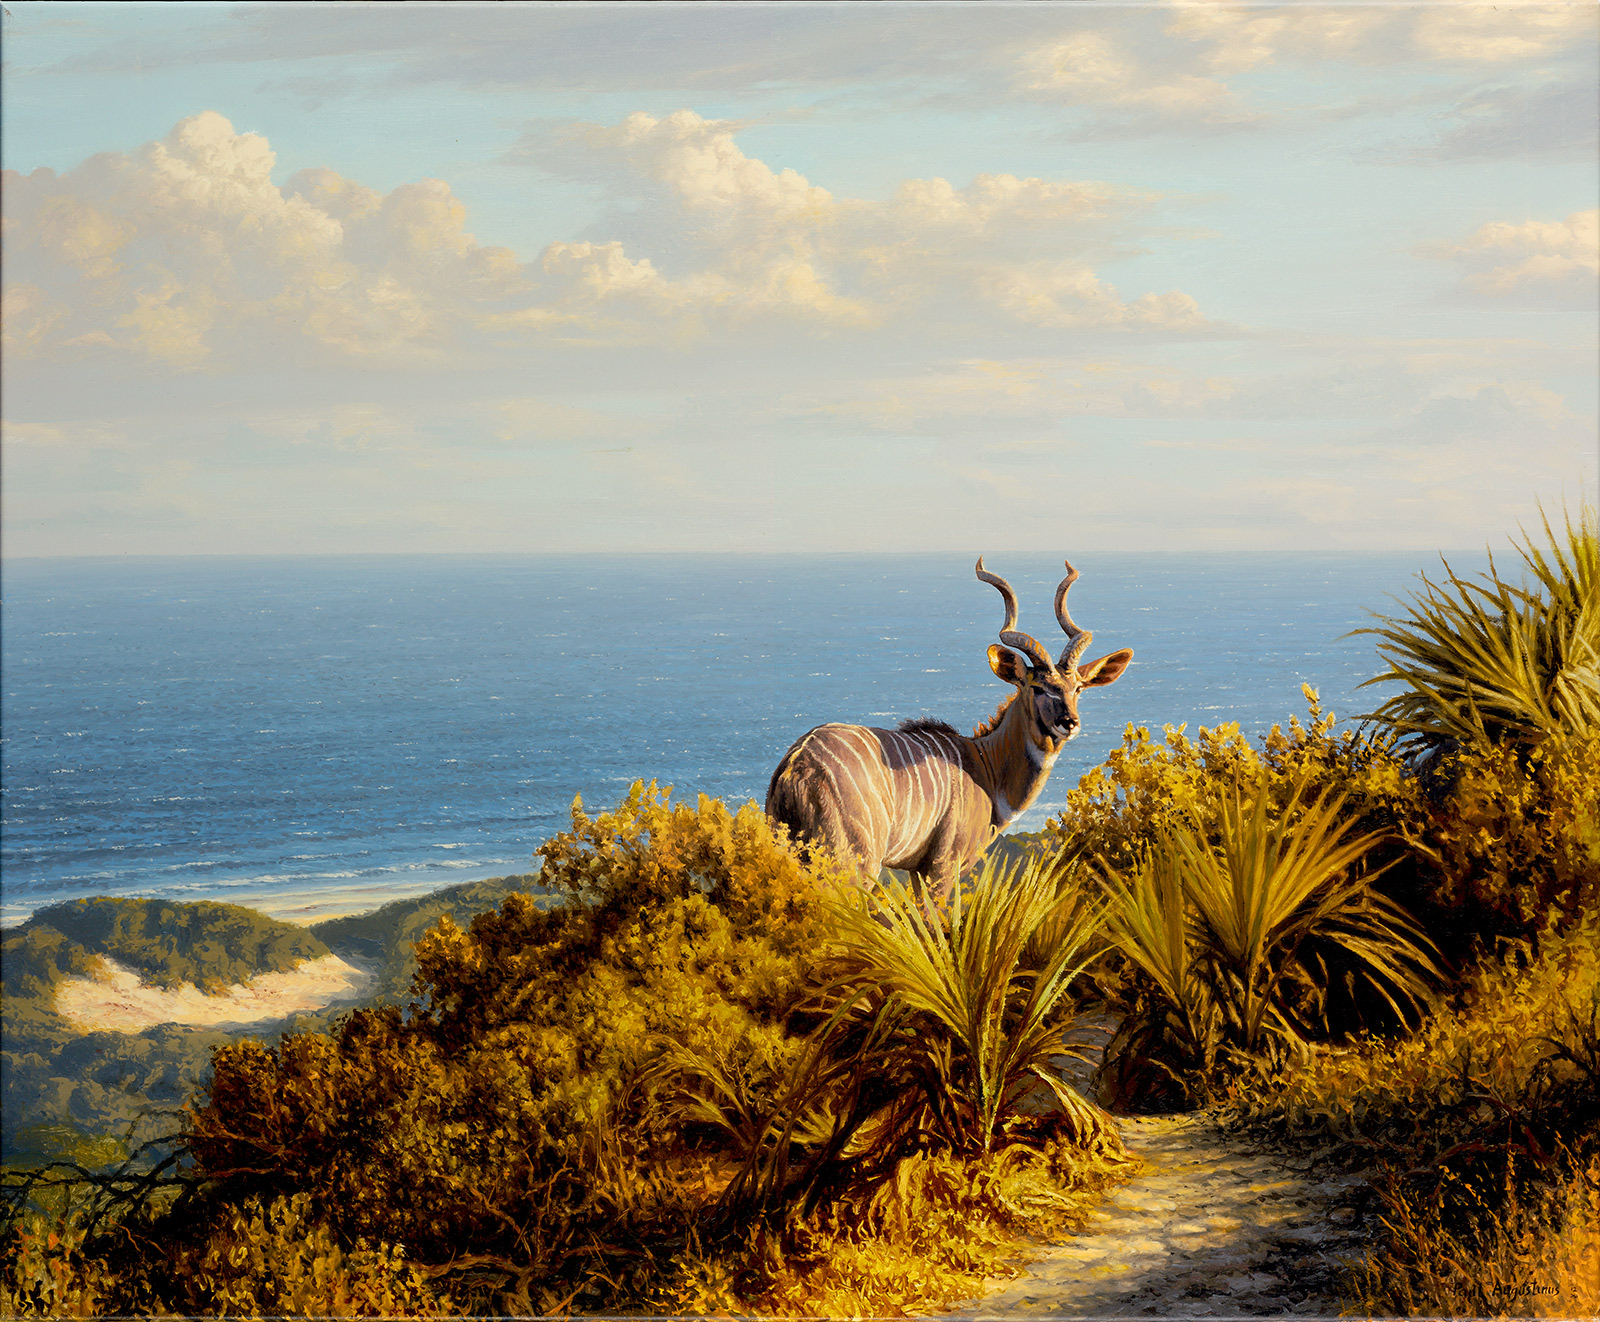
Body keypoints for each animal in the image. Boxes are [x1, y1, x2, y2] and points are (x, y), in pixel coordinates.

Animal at [766, 558, 1132, 904]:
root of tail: (797, 765)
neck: (985, 765)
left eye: (1078, 688)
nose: (1069, 722)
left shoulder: (916, 869)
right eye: (1037, 687)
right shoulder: (941, 866)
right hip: (851, 864)